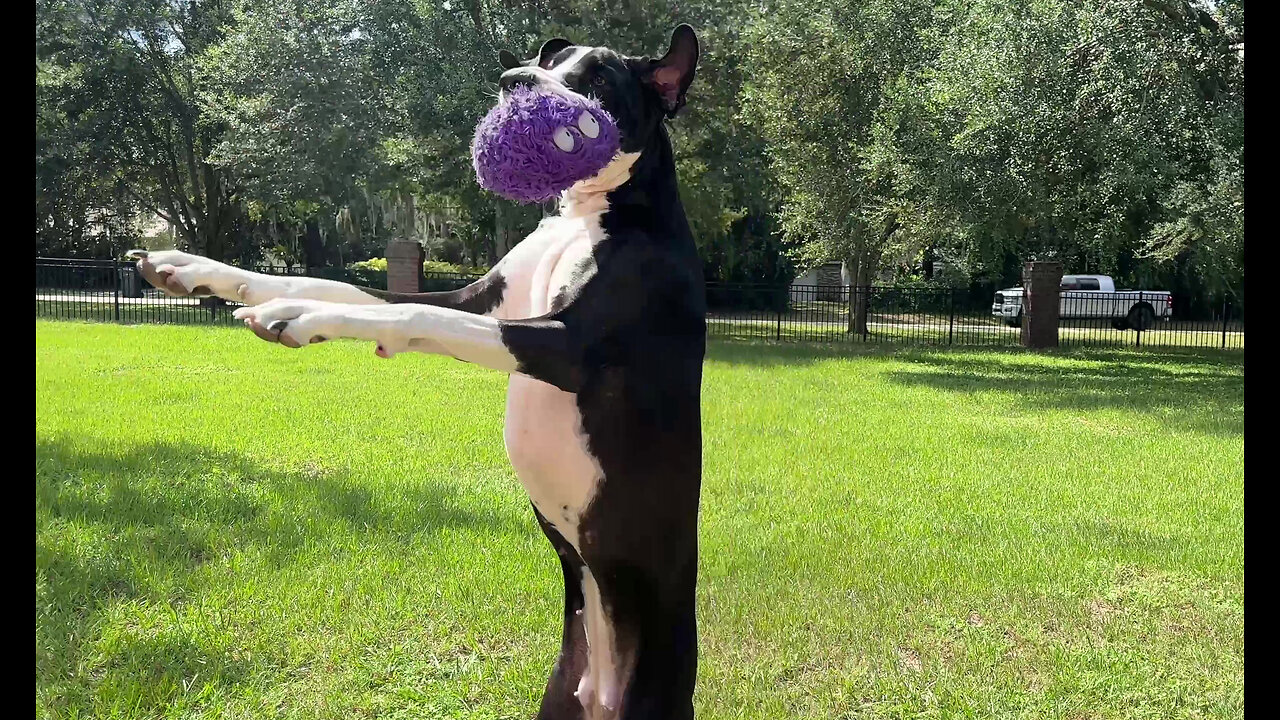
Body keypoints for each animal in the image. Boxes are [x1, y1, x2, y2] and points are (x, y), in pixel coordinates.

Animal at [128, 23, 706, 717]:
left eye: (596, 78)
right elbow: (351, 287)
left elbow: (409, 312)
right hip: (562, 691)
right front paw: (197, 269)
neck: (590, 215)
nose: (513, 81)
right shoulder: (474, 299)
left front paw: (299, 315)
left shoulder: (567, 347)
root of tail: (605, 687)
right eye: (551, 59)